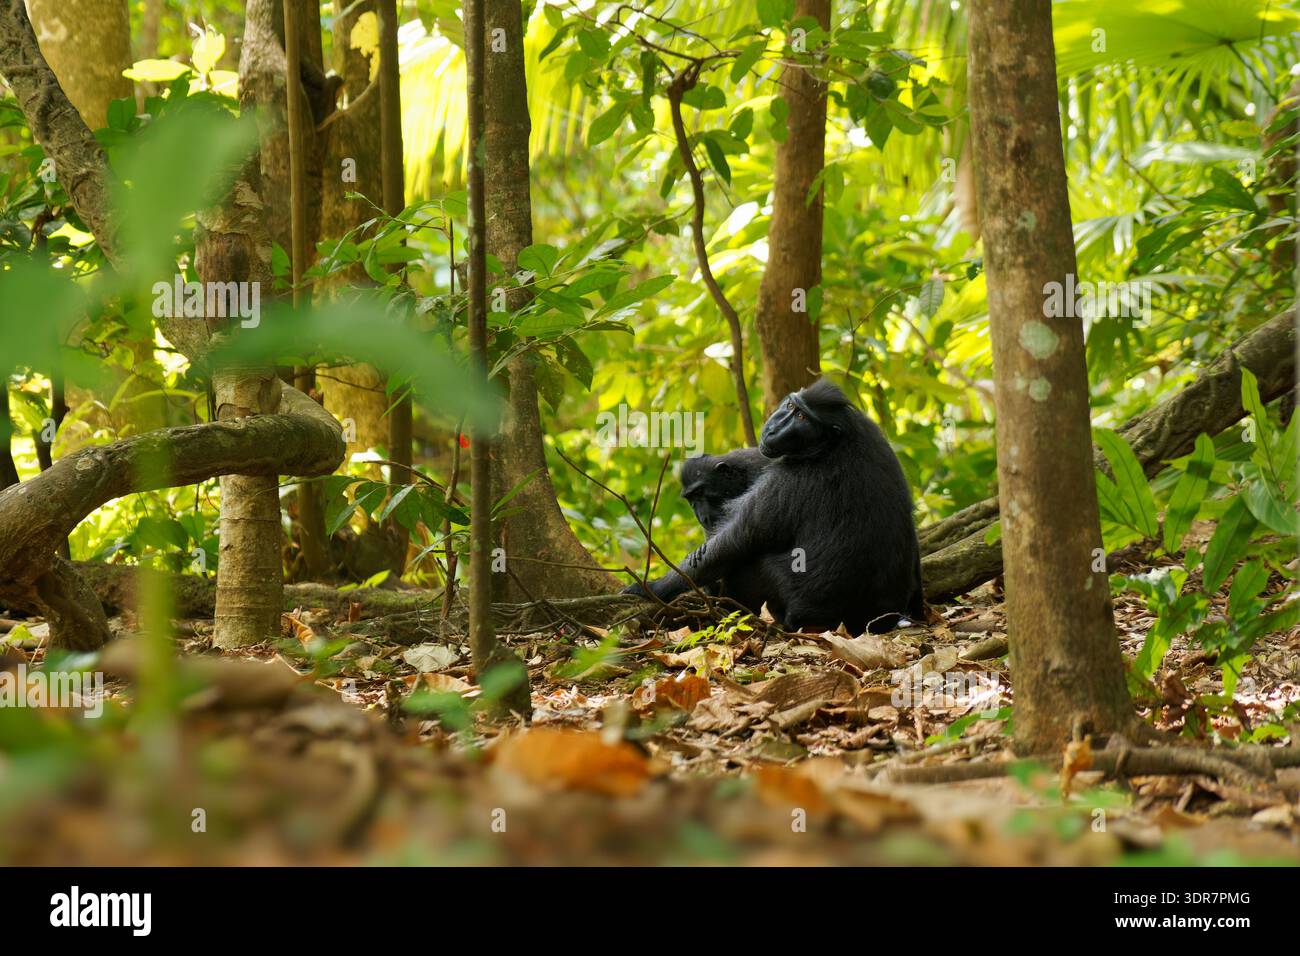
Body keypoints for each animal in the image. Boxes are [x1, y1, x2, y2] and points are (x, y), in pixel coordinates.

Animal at [627, 378, 924, 633]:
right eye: (791, 407)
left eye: (802, 418)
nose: (775, 427)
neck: (833, 441)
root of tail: (877, 621)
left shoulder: (786, 479)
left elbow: (734, 543)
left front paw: (651, 587)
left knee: (748, 567)